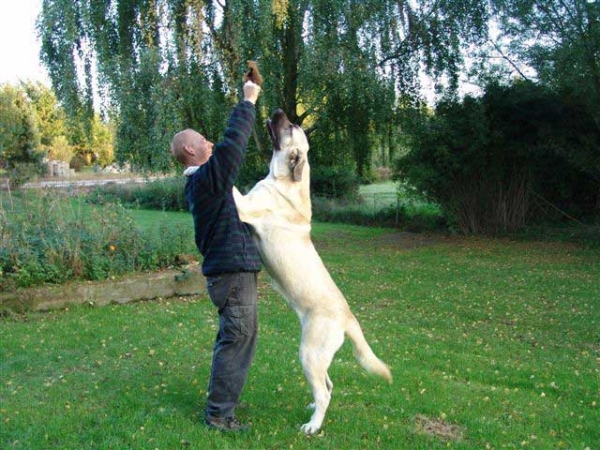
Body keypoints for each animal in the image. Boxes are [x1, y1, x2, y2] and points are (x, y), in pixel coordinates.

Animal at [232, 108, 392, 432]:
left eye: (291, 126)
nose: (277, 111)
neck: (285, 180)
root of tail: (348, 318)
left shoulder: (244, 205)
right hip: (317, 356)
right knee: (327, 386)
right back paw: (312, 410)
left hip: (309, 354)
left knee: (324, 392)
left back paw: (313, 425)